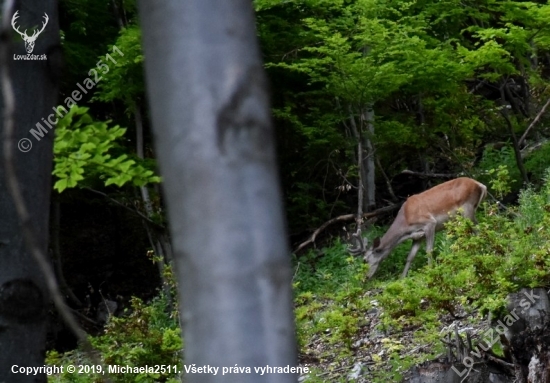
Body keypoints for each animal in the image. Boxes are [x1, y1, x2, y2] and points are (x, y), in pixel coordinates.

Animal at [352, 177, 490, 280]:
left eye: (365, 260)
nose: (365, 278)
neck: (405, 221)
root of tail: (480, 185)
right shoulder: (417, 236)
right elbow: (410, 256)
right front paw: (402, 278)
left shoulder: (429, 223)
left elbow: (429, 251)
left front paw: (430, 272)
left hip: (467, 209)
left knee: (478, 231)